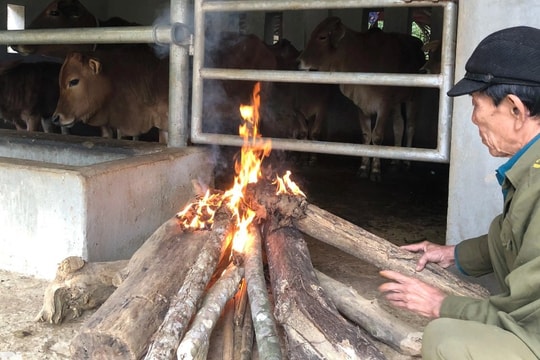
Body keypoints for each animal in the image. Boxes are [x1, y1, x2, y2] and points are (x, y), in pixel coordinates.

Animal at [298, 16, 428, 180]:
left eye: (322, 37)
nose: (298, 61)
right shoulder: (362, 105)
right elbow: (367, 136)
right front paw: (364, 167)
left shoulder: (384, 105)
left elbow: (377, 136)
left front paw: (375, 170)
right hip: (397, 102)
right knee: (399, 125)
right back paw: (394, 160)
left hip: (413, 97)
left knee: (410, 126)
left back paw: (406, 162)